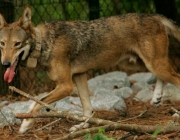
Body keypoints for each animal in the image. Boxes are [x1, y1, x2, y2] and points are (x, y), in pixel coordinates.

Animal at [0, 4, 180, 133]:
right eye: (2, 44)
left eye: (17, 44)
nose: (5, 64)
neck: (44, 43)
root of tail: (154, 16)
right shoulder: (79, 76)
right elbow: (87, 109)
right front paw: (83, 127)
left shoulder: (66, 86)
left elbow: (37, 102)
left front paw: (25, 125)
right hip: (140, 64)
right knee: (161, 76)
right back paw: (156, 98)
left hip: (155, 64)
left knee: (176, 77)